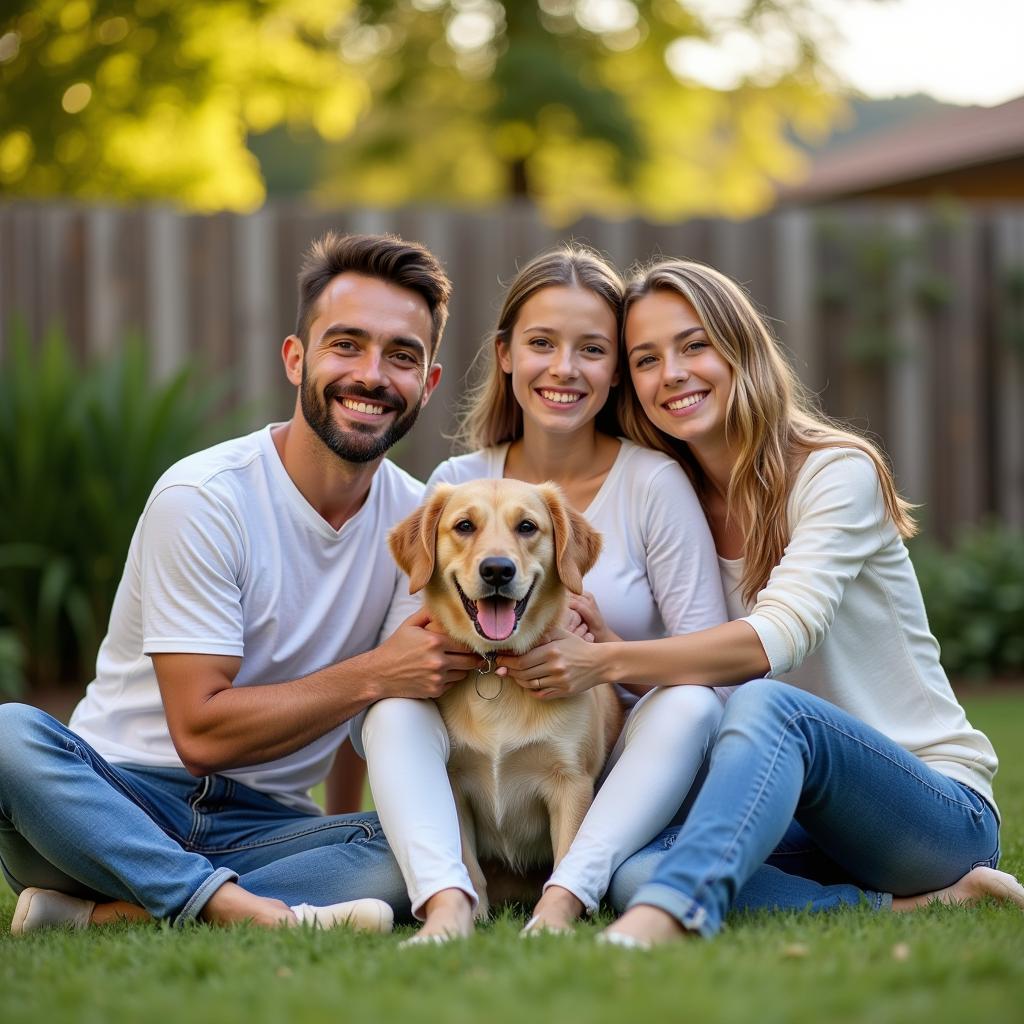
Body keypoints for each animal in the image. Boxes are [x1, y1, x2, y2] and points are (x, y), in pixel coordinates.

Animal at [387, 475, 618, 917]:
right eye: (464, 526)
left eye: (527, 527)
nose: (497, 569)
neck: (497, 670)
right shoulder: (454, 782)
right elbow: (468, 867)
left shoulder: (571, 783)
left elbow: (567, 860)